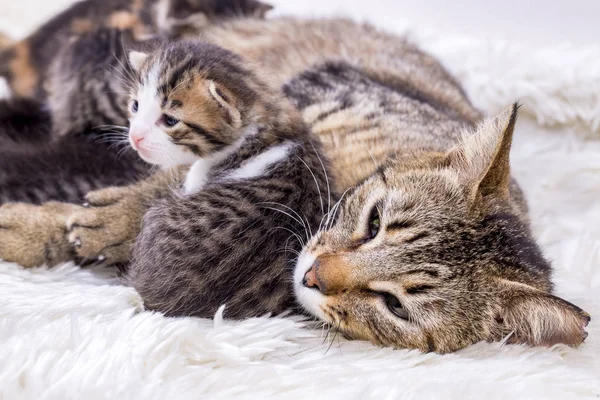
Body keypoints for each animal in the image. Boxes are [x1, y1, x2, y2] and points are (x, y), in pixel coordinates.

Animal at [0, 17, 592, 352]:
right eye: (374, 222)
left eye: (396, 306)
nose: (312, 275)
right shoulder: (302, 98)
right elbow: (172, 172)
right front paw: (82, 221)